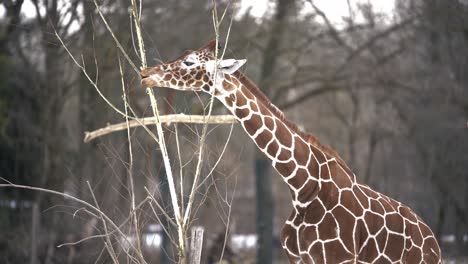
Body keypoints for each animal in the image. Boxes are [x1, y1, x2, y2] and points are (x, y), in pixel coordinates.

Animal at [141, 40, 440, 262]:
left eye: (190, 61)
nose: (145, 74)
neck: (303, 186)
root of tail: (434, 242)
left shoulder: (339, 258)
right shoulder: (298, 258)